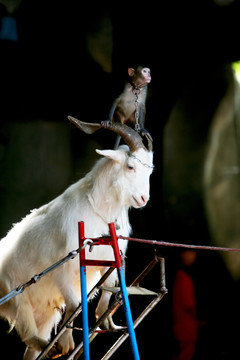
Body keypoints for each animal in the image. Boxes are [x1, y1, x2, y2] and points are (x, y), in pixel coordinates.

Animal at [0, 119, 154, 358]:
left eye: (150, 170)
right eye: (130, 167)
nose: (143, 198)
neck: (98, 211)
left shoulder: (108, 260)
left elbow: (107, 289)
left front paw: (106, 320)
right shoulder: (64, 269)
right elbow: (73, 304)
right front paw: (67, 343)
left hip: (42, 313)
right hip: (18, 299)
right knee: (28, 334)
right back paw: (53, 347)